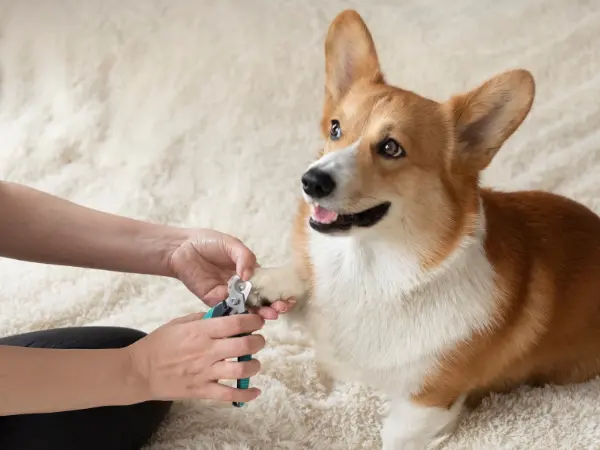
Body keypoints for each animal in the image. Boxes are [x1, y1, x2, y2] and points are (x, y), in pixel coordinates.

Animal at [246, 7, 600, 450]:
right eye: (335, 129)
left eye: (391, 147)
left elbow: (393, 434)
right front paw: (269, 282)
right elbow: (300, 276)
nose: (311, 181)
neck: (369, 271)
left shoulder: (426, 406)